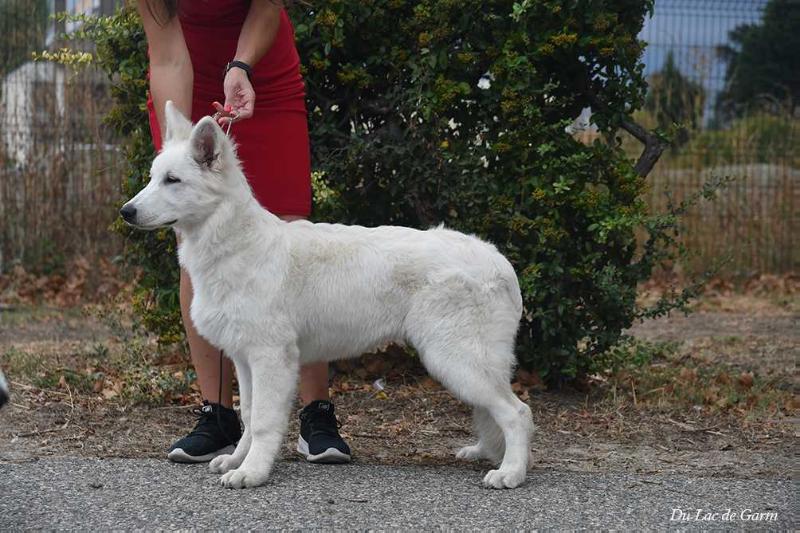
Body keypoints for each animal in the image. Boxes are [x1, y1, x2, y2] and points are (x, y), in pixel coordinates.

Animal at [122, 102, 536, 488]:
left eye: (173, 180)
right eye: (153, 178)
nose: (126, 211)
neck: (235, 242)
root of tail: (498, 260)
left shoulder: (271, 359)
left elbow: (264, 422)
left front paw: (252, 472)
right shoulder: (244, 360)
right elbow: (250, 416)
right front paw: (238, 460)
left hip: (455, 359)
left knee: (518, 413)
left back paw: (511, 473)